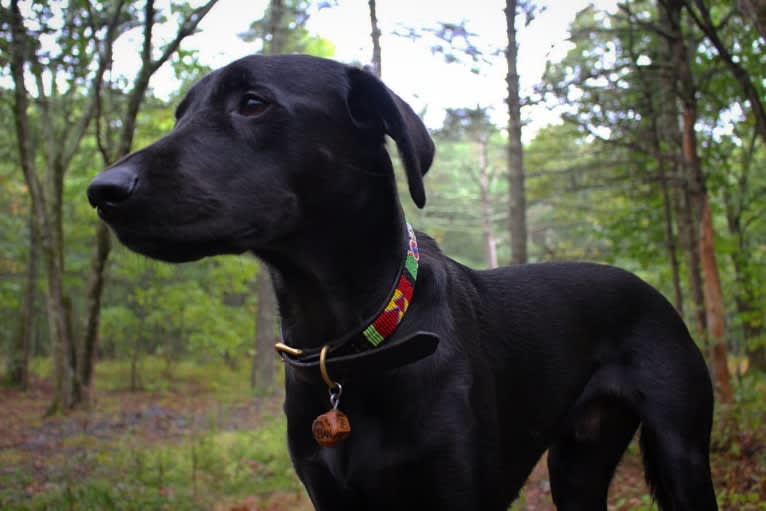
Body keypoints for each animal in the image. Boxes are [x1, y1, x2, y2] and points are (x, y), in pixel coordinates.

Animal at [88, 54, 720, 510]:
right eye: (181, 115)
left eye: (253, 103)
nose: (102, 191)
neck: (348, 344)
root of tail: (654, 293)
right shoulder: (332, 497)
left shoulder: (456, 490)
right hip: (578, 464)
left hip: (683, 453)